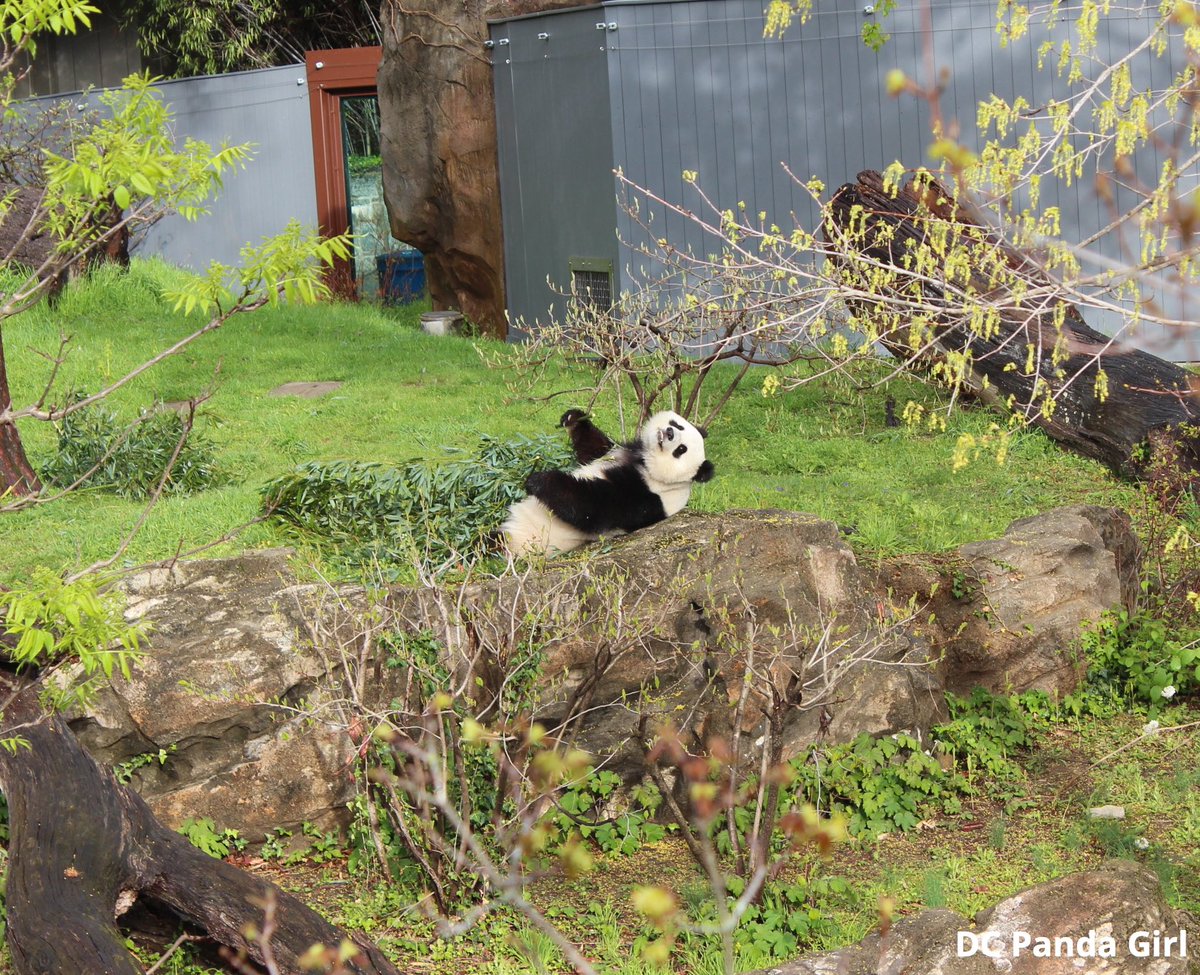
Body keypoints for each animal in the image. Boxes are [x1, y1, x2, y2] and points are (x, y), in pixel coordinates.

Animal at [501, 409, 714, 558]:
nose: (669, 432)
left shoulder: (648, 498)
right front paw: (573, 418)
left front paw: (539, 480)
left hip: (522, 540)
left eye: (681, 449)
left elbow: (591, 508)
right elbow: (595, 447)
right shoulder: (615, 452)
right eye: (678, 425)